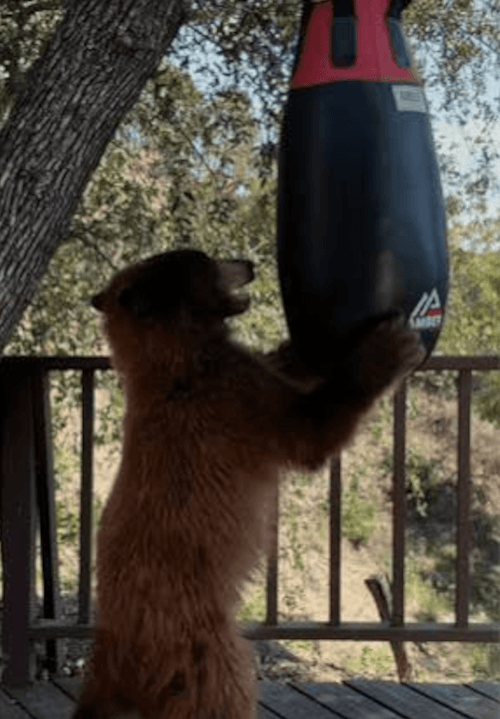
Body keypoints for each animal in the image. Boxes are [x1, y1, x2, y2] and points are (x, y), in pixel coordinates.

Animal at [73, 249, 423, 719]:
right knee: (227, 690)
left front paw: (301, 349)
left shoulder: (237, 377)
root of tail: (113, 654)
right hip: (202, 654)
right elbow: (308, 433)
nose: (249, 263)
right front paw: (386, 348)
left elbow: (277, 365)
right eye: (207, 260)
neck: (174, 362)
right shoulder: (232, 399)